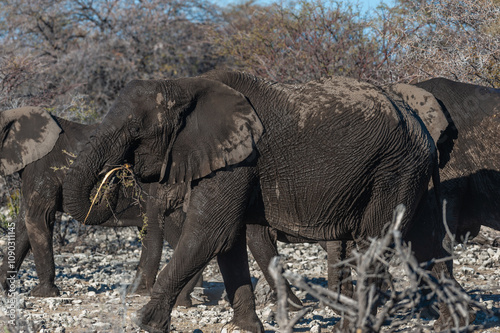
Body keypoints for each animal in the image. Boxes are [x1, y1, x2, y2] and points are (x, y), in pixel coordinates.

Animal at [0, 72, 498, 330]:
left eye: (137, 130)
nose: (117, 178)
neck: (188, 87)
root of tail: (417, 120)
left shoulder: (241, 158)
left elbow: (210, 232)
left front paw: (144, 323)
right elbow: (230, 240)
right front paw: (248, 328)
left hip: (394, 167)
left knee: (376, 244)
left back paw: (356, 327)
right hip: (412, 170)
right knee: (426, 242)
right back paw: (454, 324)